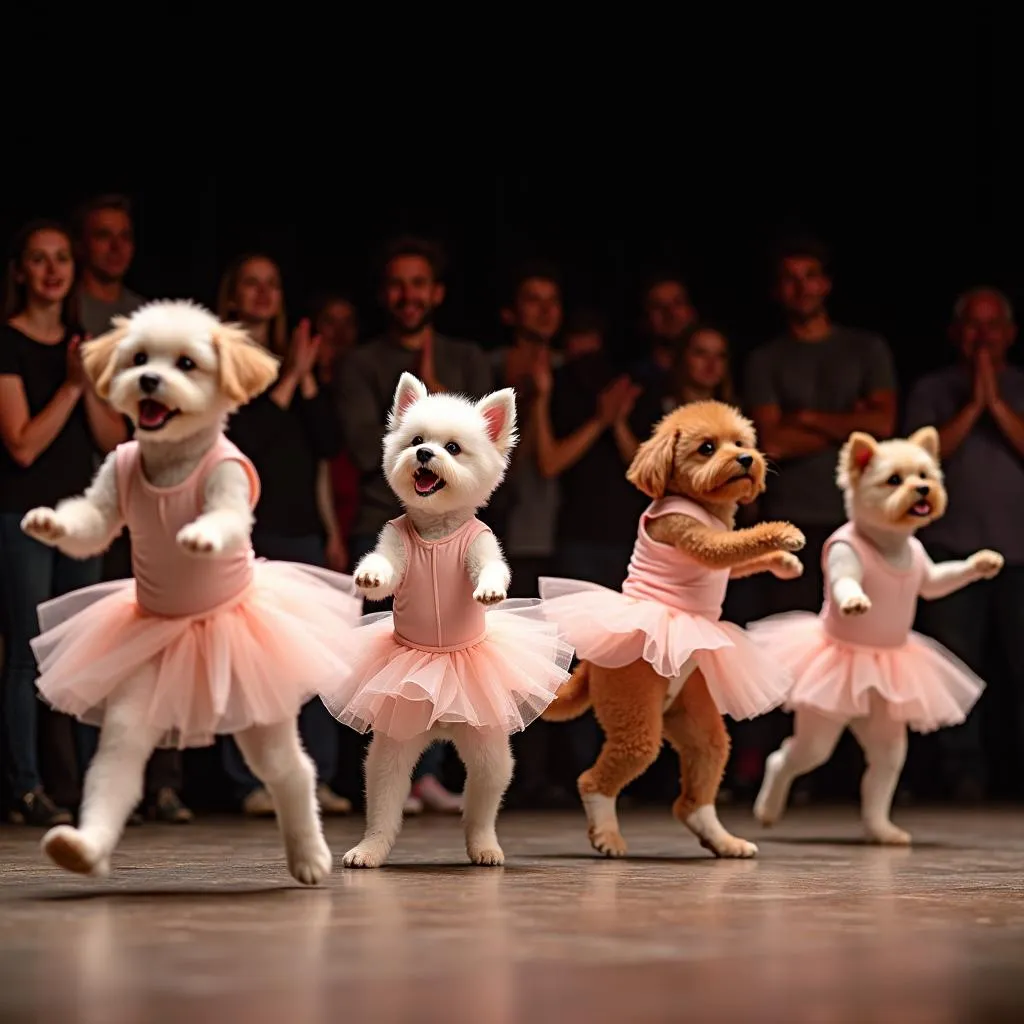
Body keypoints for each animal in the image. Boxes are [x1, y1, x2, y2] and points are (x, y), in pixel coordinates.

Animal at [20, 299, 339, 884]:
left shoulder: (228, 482)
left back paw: (310, 856)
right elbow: (90, 525)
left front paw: (201, 536)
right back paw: (83, 847)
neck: (171, 464)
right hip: (144, 684)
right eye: (139, 358)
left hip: (261, 704)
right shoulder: (109, 488)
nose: (149, 380)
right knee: (119, 759)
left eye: (187, 364)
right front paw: (48, 522)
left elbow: (226, 517)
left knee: (290, 770)